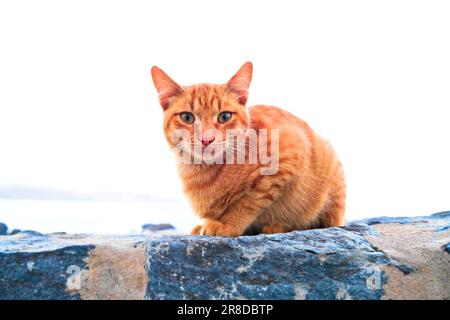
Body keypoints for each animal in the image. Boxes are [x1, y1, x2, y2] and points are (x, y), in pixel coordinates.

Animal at [151, 63, 344, 238]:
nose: (207, 139)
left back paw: (278, 226)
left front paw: (228, 224)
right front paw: (207, 223)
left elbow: (248, 202)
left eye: (225, 116)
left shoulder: (288, 156)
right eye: (187, 117)